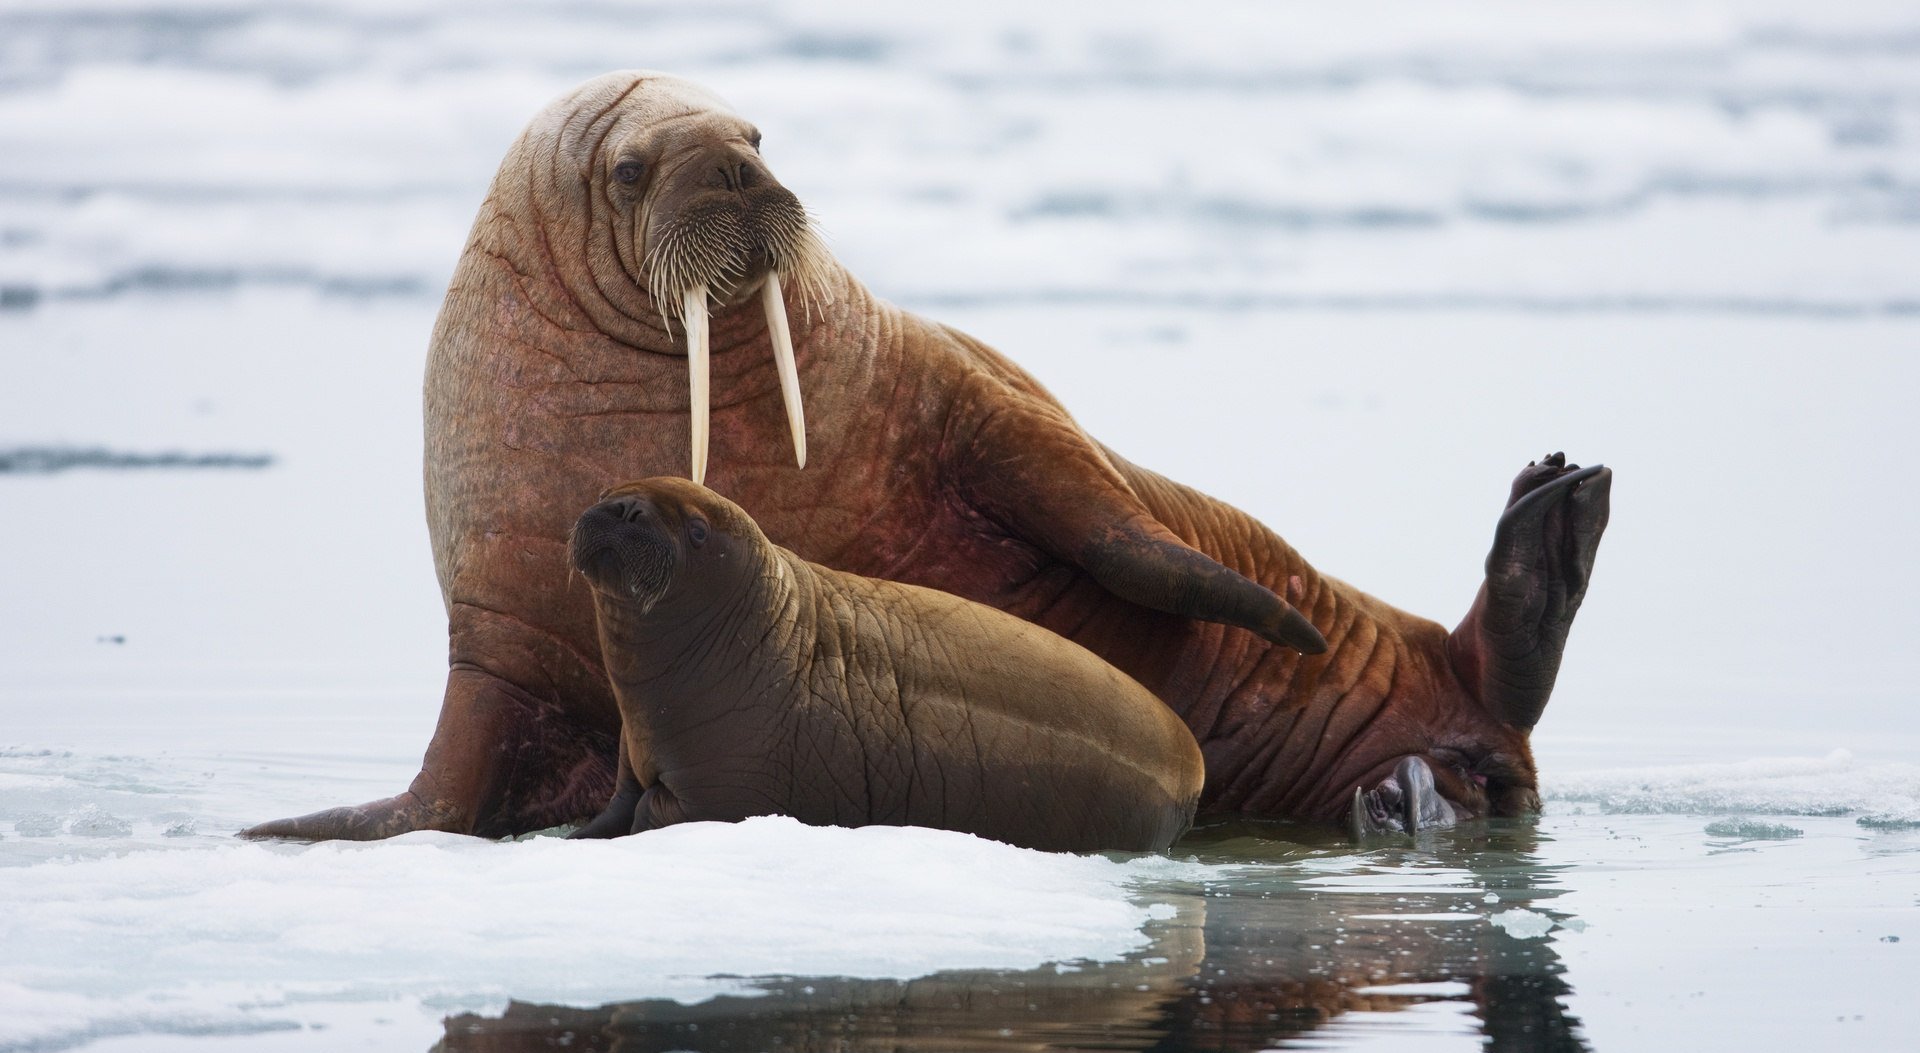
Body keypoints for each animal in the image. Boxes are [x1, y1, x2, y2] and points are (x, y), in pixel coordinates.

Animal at [560, 476, 1205, 857]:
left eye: (696, 531)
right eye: (615, 488)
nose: (626, 507)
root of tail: (1192, 764)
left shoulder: (724, 788)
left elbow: (653, 811)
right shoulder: (633, 753)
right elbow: (615, 807)